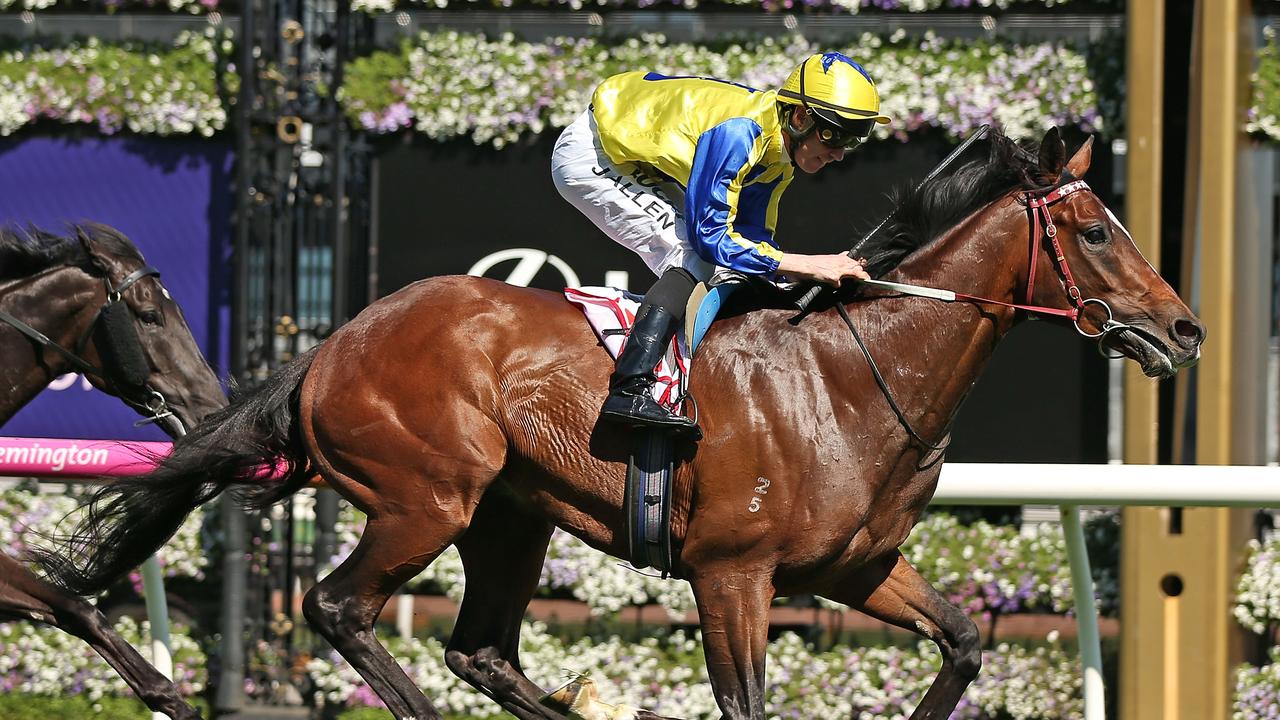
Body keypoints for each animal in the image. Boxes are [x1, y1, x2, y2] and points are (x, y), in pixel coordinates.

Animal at [37, 130, 1198, 717]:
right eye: (1097, 231)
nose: (1183, 329)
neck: (851, 378)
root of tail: (335, 341)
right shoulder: (734, 575)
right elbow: (745, 703)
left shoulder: (857, 568)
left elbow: (960, 641)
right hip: (427, 497)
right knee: (338, 608)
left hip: (510, 517)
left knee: (482, 652)